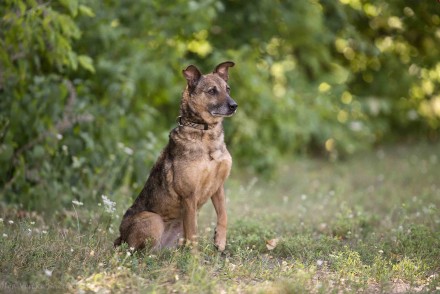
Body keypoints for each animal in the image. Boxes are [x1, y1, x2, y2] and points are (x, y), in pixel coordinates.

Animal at [113, 61, 237, 250]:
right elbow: (193, 233)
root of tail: (120, 237)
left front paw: (220, 240)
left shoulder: (218, 186)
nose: (234, 105)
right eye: (211, 91)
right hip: (154, 220)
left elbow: (223, 214)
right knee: (137, 251)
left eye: (228, 89)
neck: (206, 134)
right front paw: (195, 257)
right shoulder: (189, 196)